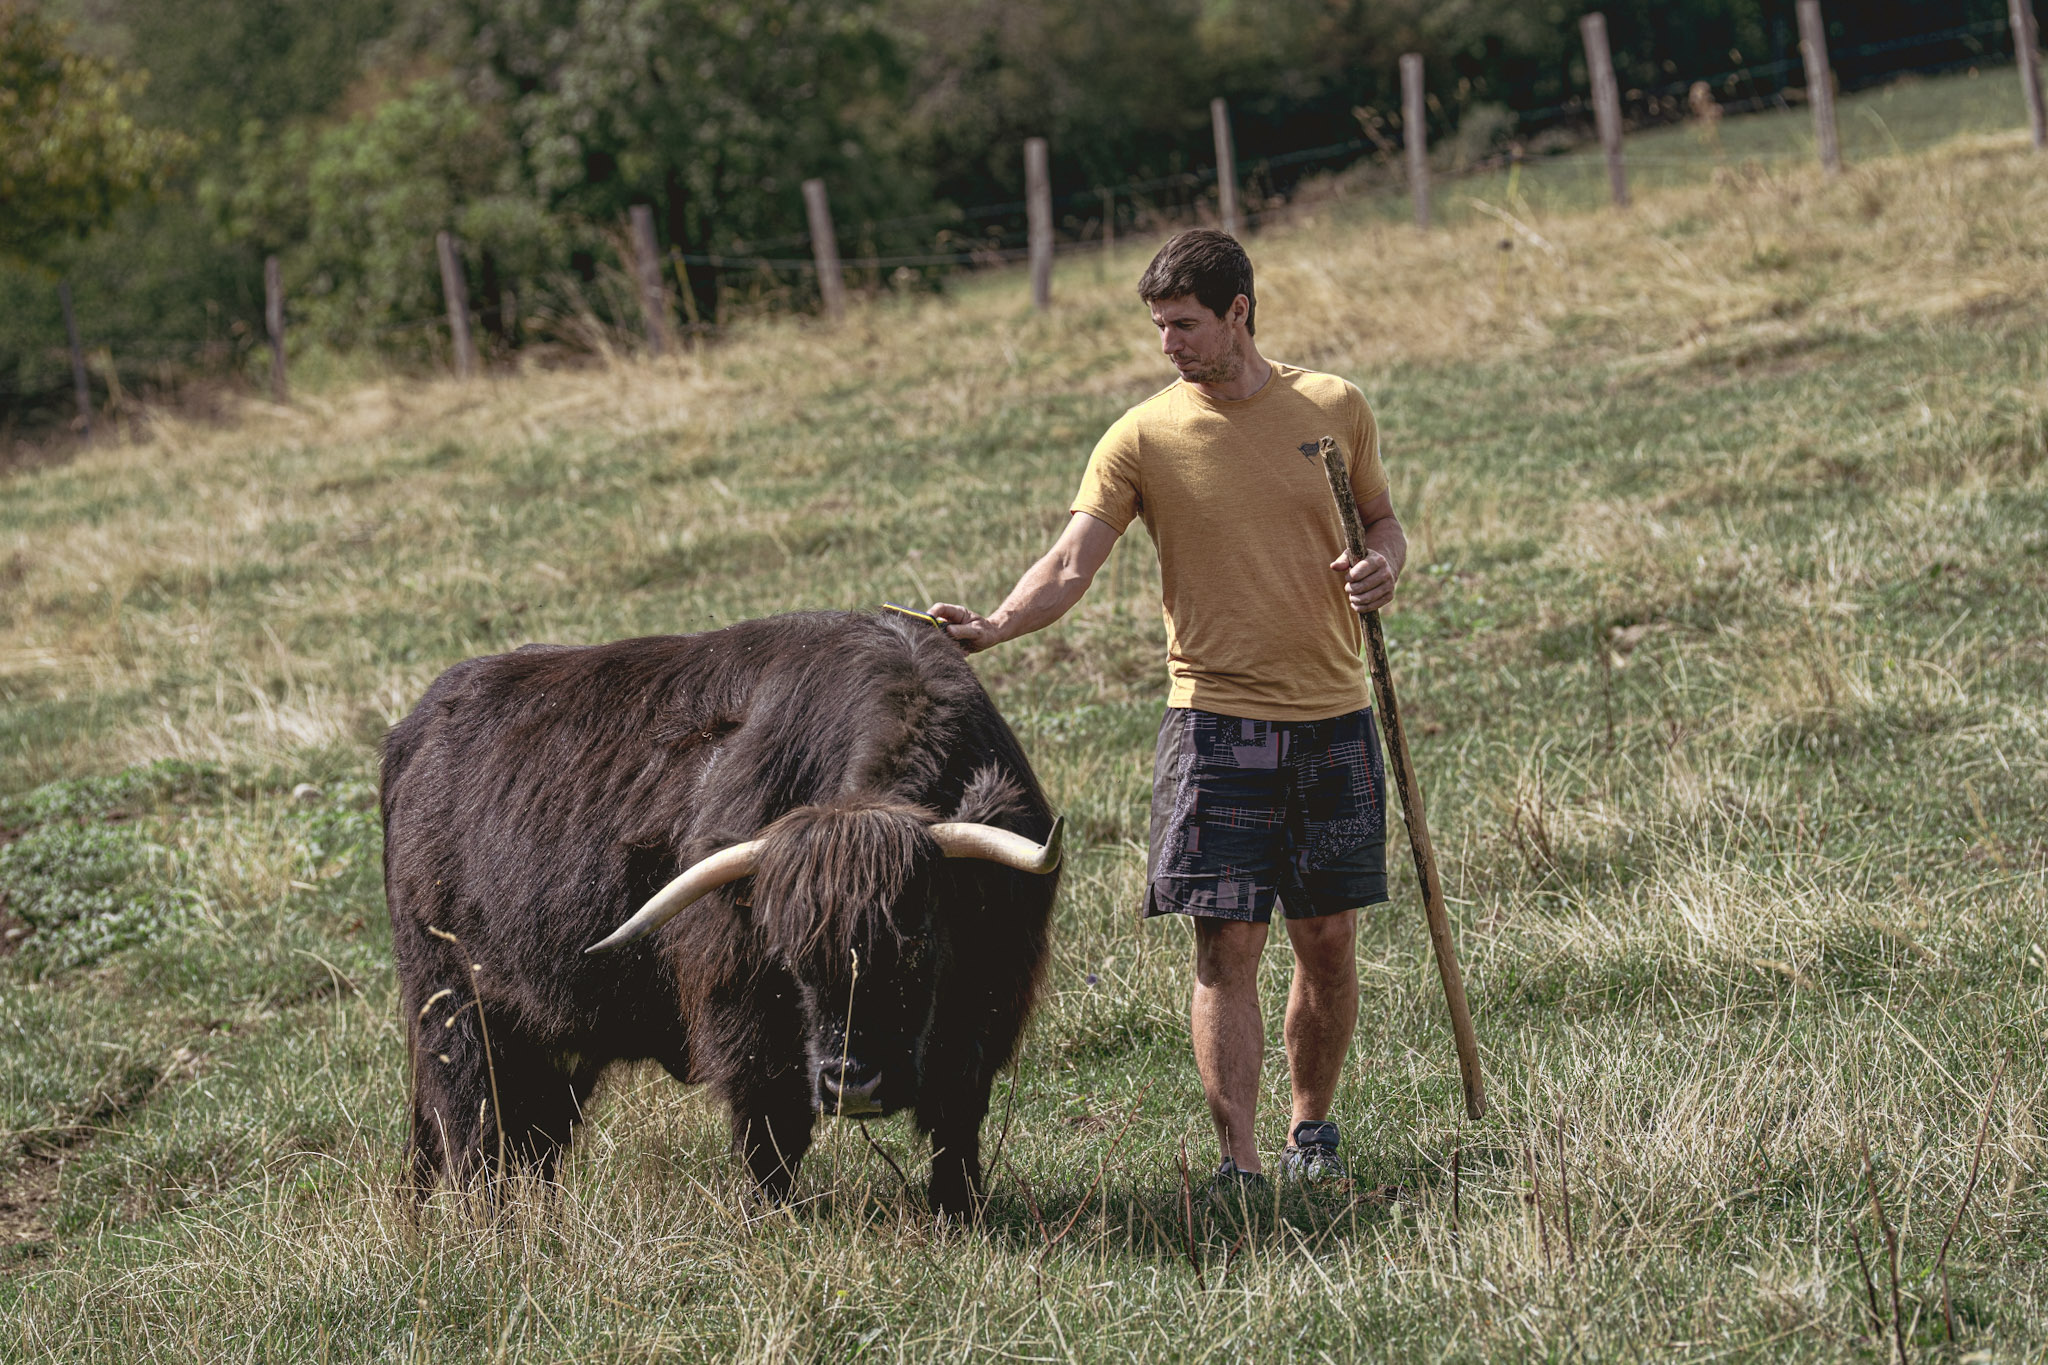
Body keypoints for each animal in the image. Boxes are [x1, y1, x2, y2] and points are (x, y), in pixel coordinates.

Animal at [380, 609, 1062, 1215]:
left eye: (918, 944)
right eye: (793, 960)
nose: (852, 1083)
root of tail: (414, 732)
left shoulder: (987, 1005)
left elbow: (956, 1118)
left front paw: (958, 1211)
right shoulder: (741, 1004)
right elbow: (771, 1124)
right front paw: (769, 1214)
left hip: (548, 1035)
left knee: (528, 1138)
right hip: (455, 1007)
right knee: (472, 1132)